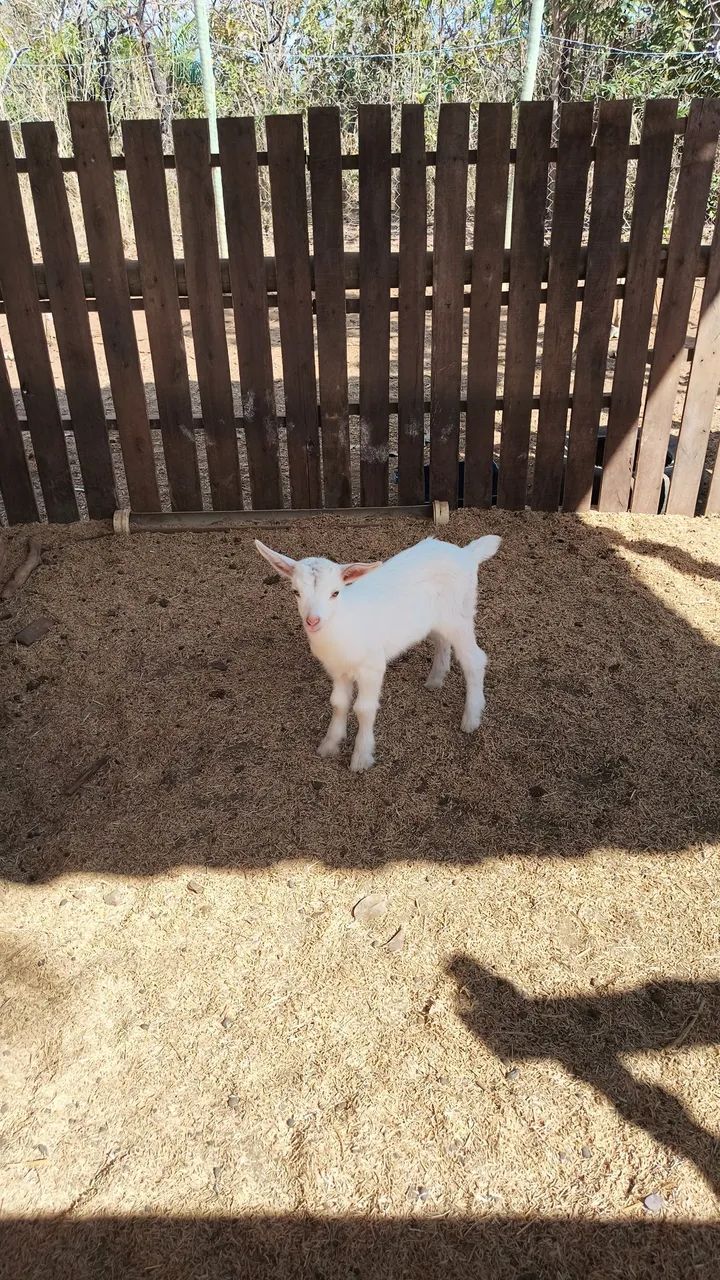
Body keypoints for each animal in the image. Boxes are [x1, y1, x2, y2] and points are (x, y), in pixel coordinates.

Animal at [255, 534, 501, 771]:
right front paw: (330, 745)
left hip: (460, 615)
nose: (313, 621)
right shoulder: (338, 670)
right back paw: (435, 679)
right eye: (296, 592)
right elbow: (338, 703)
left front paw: (361, 758)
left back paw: (471, 718)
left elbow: (363, 709)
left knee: (474, 659)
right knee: (442, 640)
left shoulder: (372, 667)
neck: (345, 622)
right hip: (437, 620)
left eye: (335, 593)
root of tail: (467, 553)